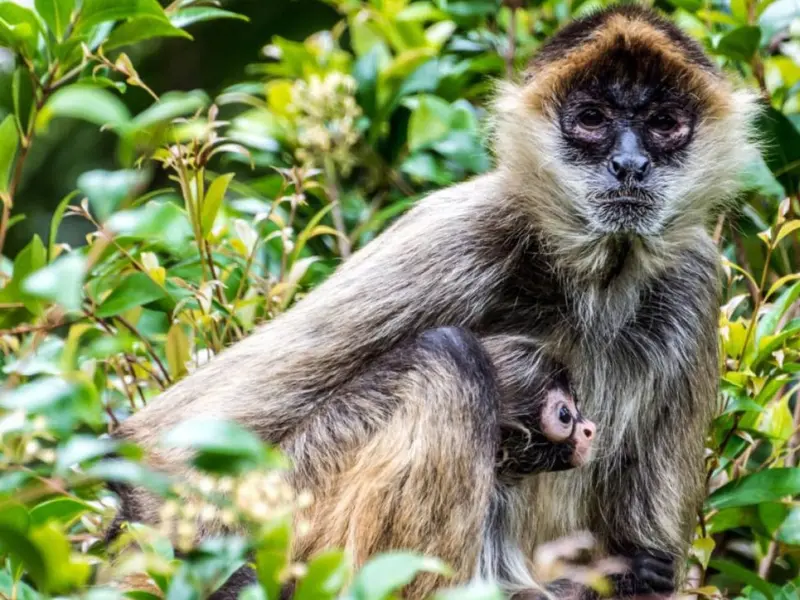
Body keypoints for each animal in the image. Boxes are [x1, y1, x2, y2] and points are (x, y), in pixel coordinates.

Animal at [105, 4, 761, 600]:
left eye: (664, 124)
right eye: (593, 119)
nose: (629, 164)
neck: (596, 284)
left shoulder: (695, 276)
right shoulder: (470, 226)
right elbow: (161, 456)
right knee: (450, 358)